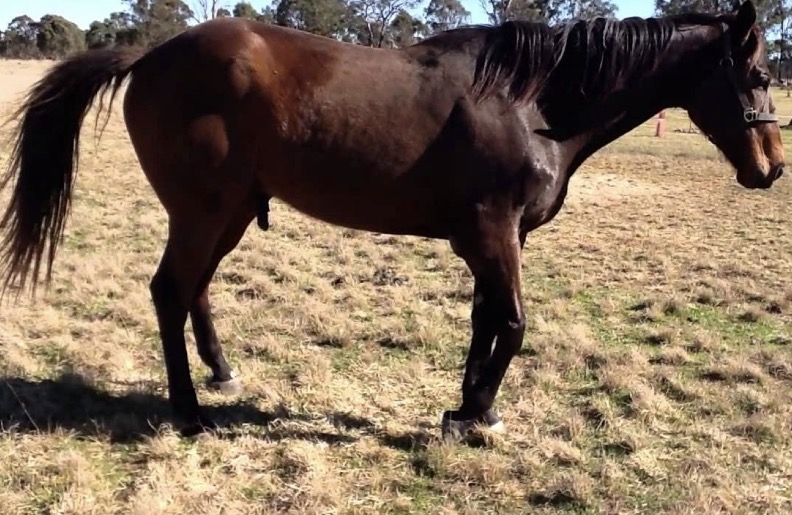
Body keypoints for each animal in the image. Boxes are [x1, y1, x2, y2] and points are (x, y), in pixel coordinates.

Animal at [0, 0, 783, 441]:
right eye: (758, 75)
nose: (772, 167)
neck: (529, 102)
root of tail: (150, 54)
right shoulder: (494, 233)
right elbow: (514, 324)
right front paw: (470, 417)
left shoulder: (493, 239)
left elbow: (486, 322)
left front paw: (471, 408)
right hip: (203, 210)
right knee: (169, 291)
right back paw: (190, 414)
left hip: (227, 213)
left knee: (193, 290)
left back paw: (221, 375)